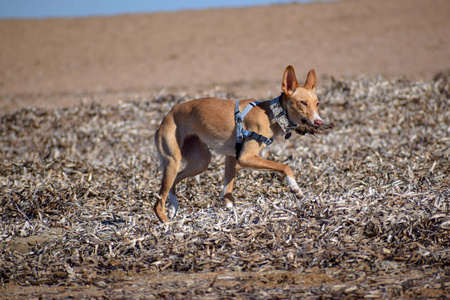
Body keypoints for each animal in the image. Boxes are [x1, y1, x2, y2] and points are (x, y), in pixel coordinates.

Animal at [155, 65, 330, 223]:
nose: (319, 122)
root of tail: (169, 113)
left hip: (201, 161)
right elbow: (285, 166)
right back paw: (167, 225)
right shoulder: (245, 158)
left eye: (317, 103)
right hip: (173, 161)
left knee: (174, 183)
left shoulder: (231, 158)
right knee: (158, 202)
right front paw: (295, 188)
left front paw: (232, 214)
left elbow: (227, 193)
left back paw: (173, 207)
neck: (272, 114)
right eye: (303, 102)